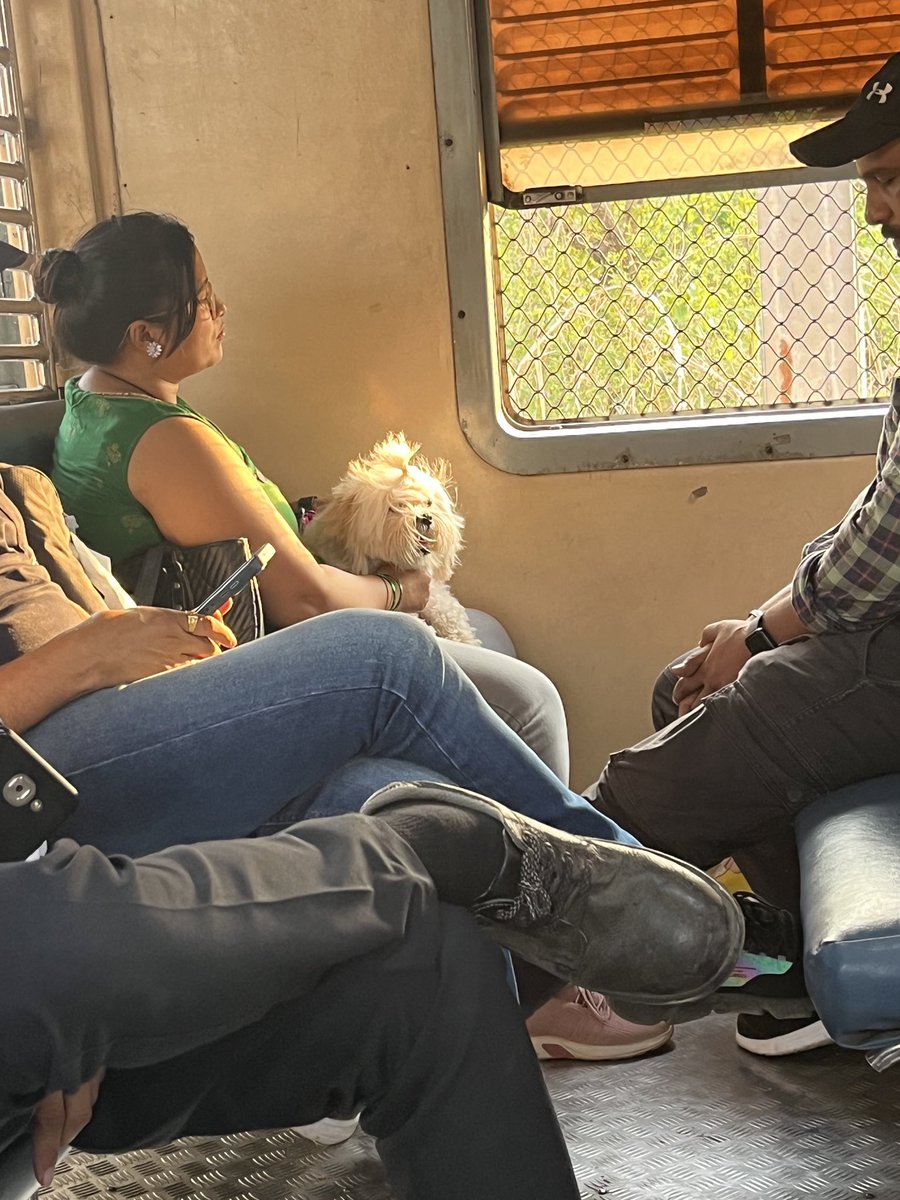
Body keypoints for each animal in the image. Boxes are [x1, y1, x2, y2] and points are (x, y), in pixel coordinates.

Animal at [303, 434, 482, 643]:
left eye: (428, 502)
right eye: (395, 507)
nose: (425, 518)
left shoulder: (435, 591)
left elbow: (449, 611)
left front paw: (466, 639)